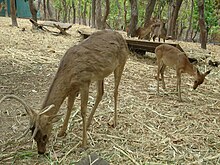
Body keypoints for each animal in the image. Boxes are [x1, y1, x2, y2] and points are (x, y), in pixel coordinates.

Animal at [0, 30, 129, 155]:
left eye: (44, 136)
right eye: (34, 137)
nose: (41, 152)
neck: (68, 73)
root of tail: (122, 38)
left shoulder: (84, 82)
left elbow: (82, 111)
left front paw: (84, 144)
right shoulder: (73, 88)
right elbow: (69, 107)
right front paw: (62, 132)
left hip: (121, 63)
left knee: (115, 92)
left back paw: (114, 122)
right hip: (100, 74)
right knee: (100, 93)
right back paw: (88, 123)